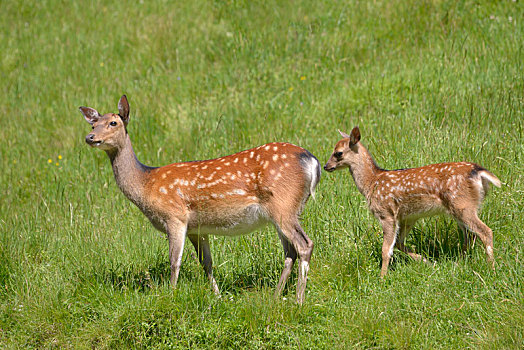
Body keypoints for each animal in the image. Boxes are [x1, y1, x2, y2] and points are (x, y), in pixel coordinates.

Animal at [80, 95, 320, 304]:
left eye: (113, 122)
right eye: (93, 125)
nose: (90, 138)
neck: (146, 184)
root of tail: (312, 161)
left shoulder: (175, 216)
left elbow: (174, 261)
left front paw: (172, 295)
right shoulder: (198, 228)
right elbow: (206, 263)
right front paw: (218, 296)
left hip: (283, 205)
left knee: (304, 245)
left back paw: (299, 299)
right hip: (282, 211)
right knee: (290, 252)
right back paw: (275, 297)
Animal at [324, 127, 500, 278]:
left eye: (338, 153)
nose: (326, 166)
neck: (372, 182)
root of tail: (479, 172)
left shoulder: (386, 213)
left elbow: (386, 249)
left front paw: (382, 278)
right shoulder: (408, 217)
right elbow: (399, 244)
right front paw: (426, 261)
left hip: (463, 205)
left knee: (486, 232)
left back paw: (491, 268)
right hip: (460, 208)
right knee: (470, 236)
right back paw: (460, 263)